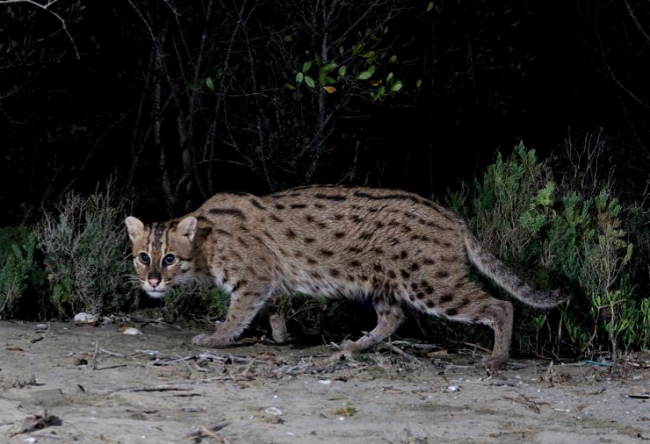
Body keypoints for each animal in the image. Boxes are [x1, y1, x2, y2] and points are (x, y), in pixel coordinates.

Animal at [124, 185, 564, 372]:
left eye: (168, 259)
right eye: (143, 257)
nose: (152, 282)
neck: (205, 242)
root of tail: (454, 217)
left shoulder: (253, 279)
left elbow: (236, 316)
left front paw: (216, 339)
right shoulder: (268, 283)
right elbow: (274, 309)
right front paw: (281, 336)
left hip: (428, 282)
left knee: (501, 305)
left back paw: (498, 357)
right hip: (385, 283)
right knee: (394, 317)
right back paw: (357, 345)